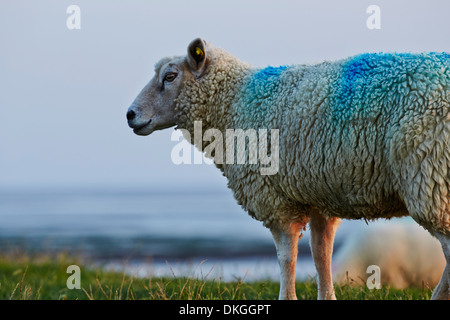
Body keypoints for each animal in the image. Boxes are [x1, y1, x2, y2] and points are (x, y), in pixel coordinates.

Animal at [126, 38, 450, 300]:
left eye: (170, 76)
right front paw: (327, 297)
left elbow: (287, 258)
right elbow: (321, 256)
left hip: (431, 175)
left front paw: (287, 296)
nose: (130, 115)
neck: (233, 105)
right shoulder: (318, 195)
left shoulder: (275, 198)